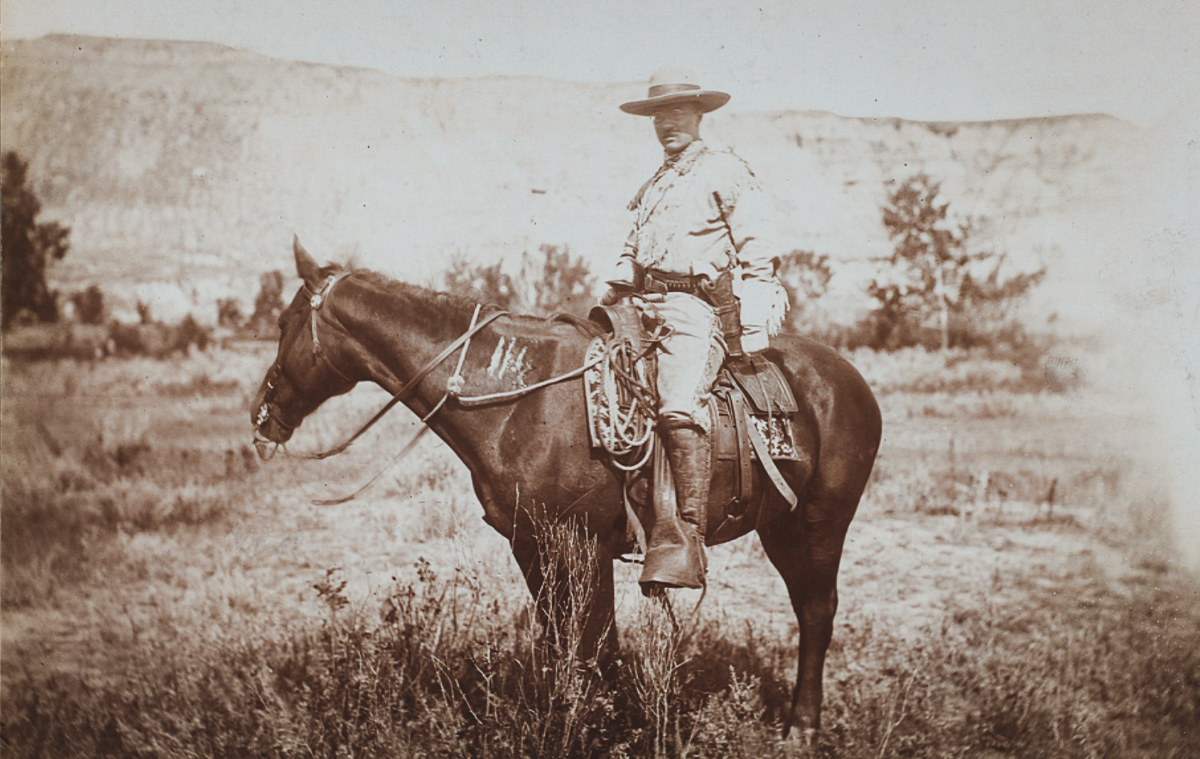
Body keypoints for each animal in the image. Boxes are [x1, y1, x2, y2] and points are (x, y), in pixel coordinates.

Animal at [250, 240, 883, 739]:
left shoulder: (581, 542)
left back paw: (802, 726)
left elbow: (597, 641)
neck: (519, 396)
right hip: (781, 525)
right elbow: (563, 639)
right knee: (806, 605)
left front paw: (607, 728)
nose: (262, 417)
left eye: (282, 325)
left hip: (823, 520)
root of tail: (849, 377)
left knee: (818, 610)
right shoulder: (531, 542)